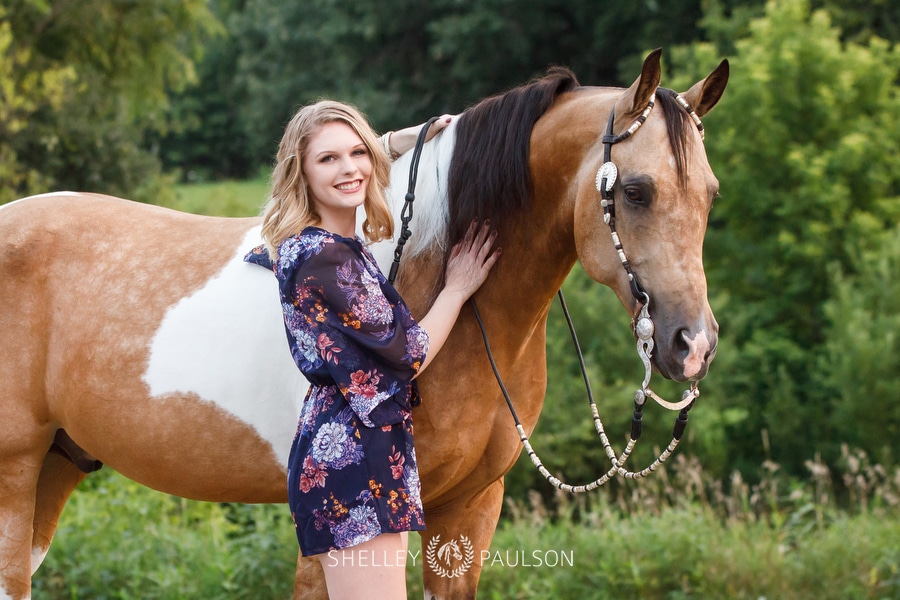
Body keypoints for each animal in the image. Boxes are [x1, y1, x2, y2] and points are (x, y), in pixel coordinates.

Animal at [0, 49, 728, 596]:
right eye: (635, 191)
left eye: (711, 194)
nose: (693, 345)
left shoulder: (470, 508)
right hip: (15, 471)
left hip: (57, 464)